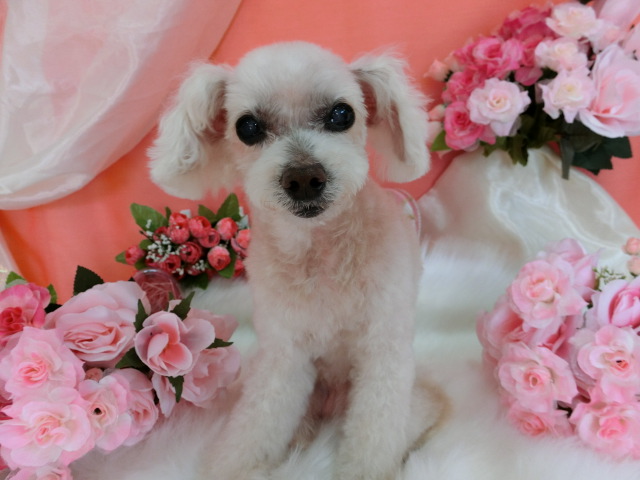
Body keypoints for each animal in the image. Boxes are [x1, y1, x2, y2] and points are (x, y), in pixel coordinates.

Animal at [149, 41, 442, 480]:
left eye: (342, 114)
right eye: (247, 127)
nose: (304, 178)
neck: (318, 253)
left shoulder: (382, 349)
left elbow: (375, 429)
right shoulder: (283, 354)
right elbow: (259, 418)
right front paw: (236, 465)